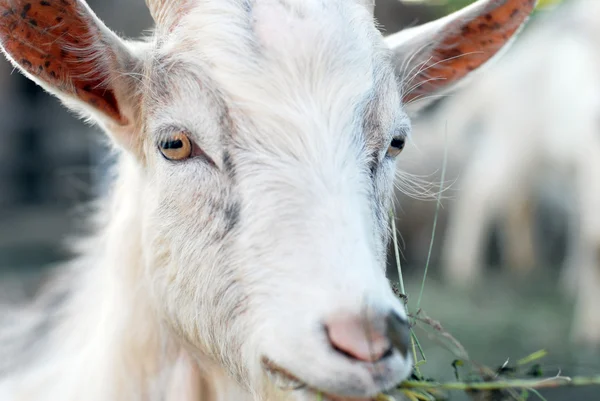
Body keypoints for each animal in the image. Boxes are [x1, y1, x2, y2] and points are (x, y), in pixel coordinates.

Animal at [398, 0, 600, 344]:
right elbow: (593, 243)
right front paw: (588, 333)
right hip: (515, 136)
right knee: (482, 190)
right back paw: (464, 272)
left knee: (519, 200)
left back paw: (527, 265)